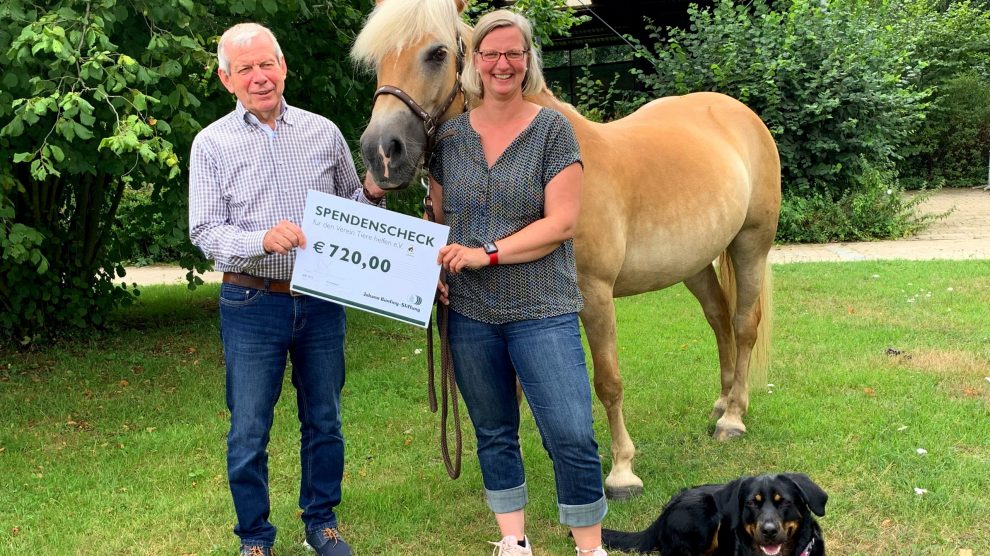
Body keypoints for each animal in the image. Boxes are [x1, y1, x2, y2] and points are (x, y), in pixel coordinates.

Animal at [354, 0, 784, 498]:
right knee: (718, 319)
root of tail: (738, 113)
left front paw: (621, 470)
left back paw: (733, 418)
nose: (381, 153)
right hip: (693, 263)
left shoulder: (595, 296)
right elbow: (515, 388)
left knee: (744, 324)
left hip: (750, 244)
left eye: (437, 53)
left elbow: (608, 382)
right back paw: (722, 401)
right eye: (376, 59)